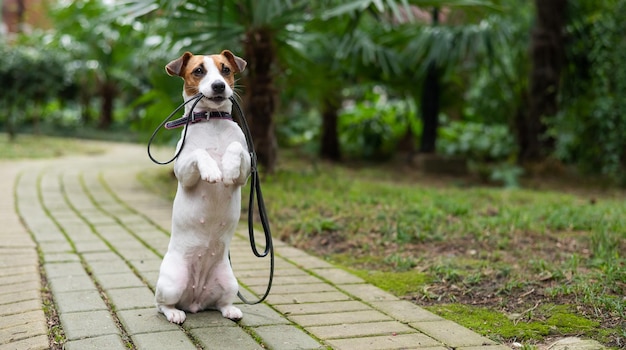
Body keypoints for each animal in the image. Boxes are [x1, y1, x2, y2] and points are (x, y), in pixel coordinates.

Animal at [155, 50, 250, 324]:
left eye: (225, 69)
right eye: (199, 71)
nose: (219, 86)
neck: (212, 121)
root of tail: (195, 300)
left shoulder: (247, 169)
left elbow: (235, 149)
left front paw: (227, 168)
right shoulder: (183, 172)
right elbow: (199, 153)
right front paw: (212, 170)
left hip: (229, 281)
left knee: (220, 303)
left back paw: (231, 310)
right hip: (172, 282)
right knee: (161, 305)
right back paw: (175, 313)